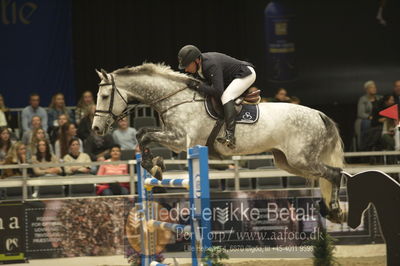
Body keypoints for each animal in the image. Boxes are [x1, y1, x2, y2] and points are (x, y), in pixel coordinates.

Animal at [92, 62, 346, 222]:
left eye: (104, 96)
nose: (95, 129)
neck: (175, 98)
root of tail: (318, 114)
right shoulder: (171, 135)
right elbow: (142, 133)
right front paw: (154, 165)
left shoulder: (179, 139)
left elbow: (144, 135)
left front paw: (155, 166)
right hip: (287, 162)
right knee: (326, 175)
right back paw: (330, 211)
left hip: (301, 159)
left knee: (334, 174)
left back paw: (335, 211)